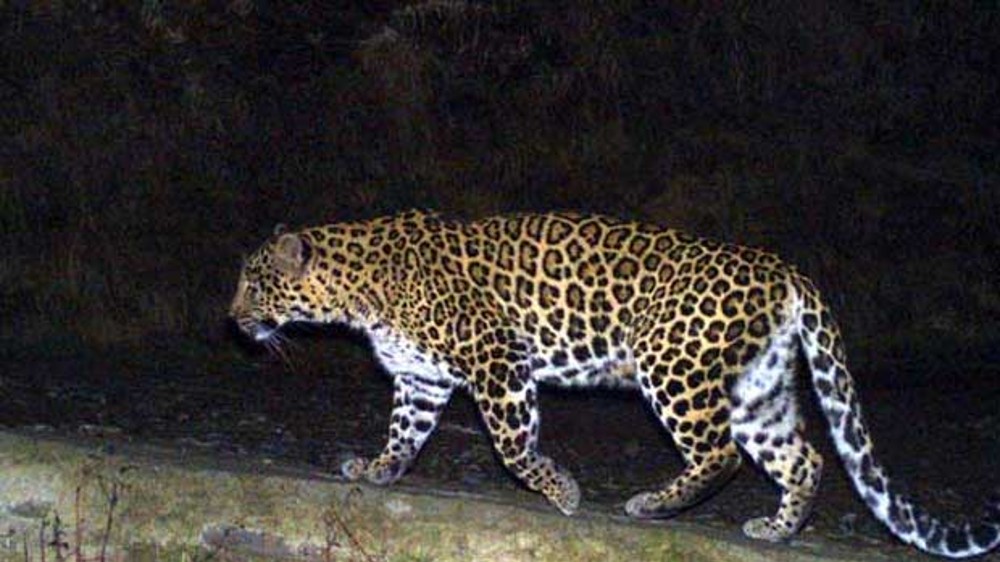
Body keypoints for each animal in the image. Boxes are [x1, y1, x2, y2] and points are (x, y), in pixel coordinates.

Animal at [230, 209, 999, 559]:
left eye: (255, 282)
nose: (232, 319)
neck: (356, 288)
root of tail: (782, 269)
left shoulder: (496, 357)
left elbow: (512, 443)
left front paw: (561, 491)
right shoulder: (421, 379)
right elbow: (403, 435)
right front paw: (377, 470)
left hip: (674, 364)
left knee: (720, 453)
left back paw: (655, 506)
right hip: (759, 387)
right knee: (802, 456)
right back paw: (777, 530)